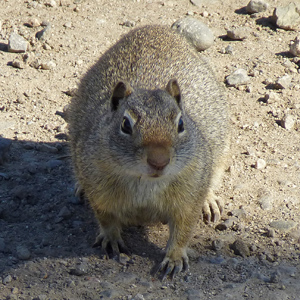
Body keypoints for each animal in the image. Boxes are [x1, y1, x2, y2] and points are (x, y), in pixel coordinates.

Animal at [67, 24, 227, 278]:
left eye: (181, 124)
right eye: (125, 124)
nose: (159, 161)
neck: (145, 182)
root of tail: (156, 28)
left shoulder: (190, 192)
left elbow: (183, 229)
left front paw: (174, 258)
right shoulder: (99, 188)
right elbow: (106, 218)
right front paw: (111, 239)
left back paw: (210, 201)